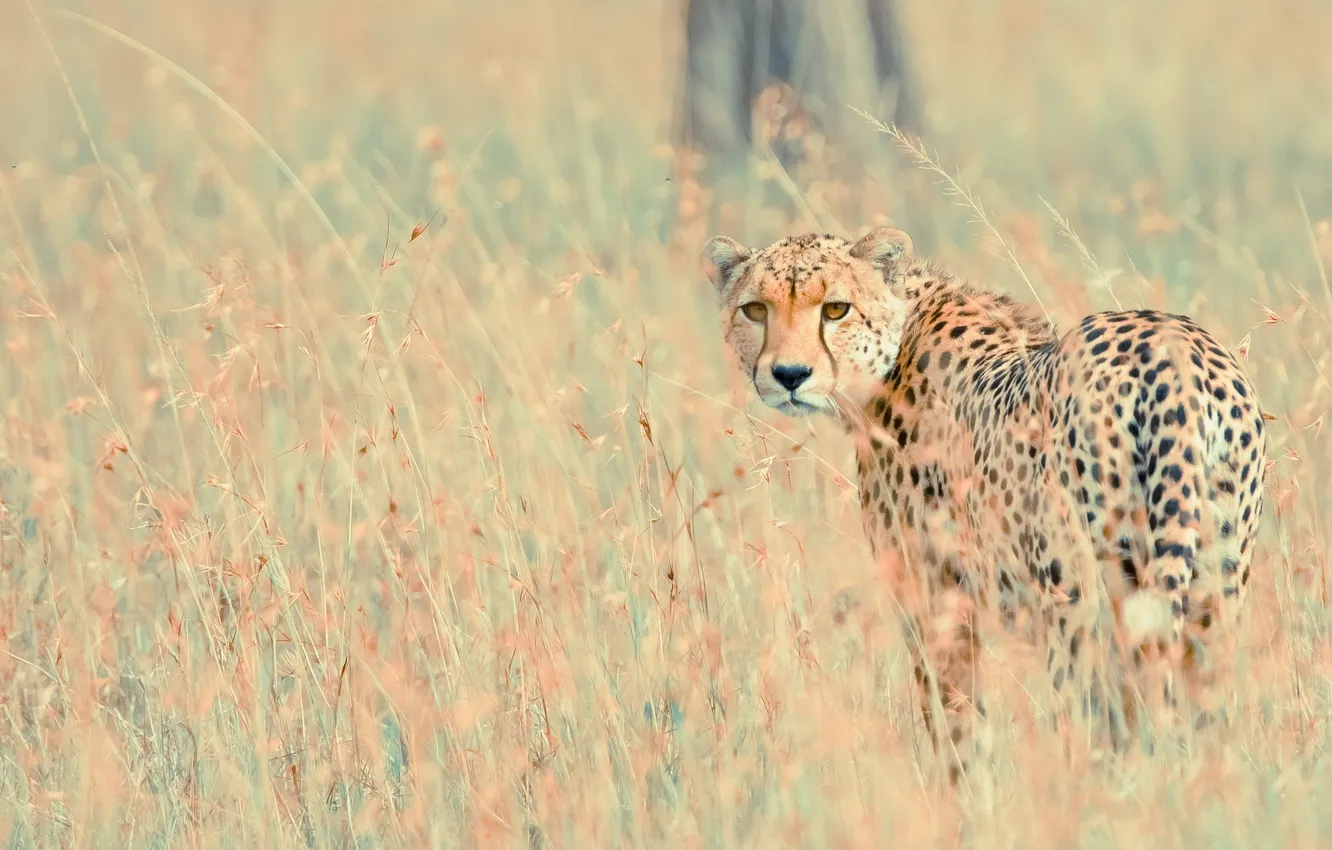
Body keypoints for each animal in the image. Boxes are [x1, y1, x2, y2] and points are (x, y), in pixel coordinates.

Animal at [702, 226, 1267, 782]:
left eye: (836, 309)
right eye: (756, 309)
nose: (789, 374)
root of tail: (1172, 349)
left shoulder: (937, 602)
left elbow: (955, 727)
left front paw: (960, 795)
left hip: (1080, 597)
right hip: (1215, 588)